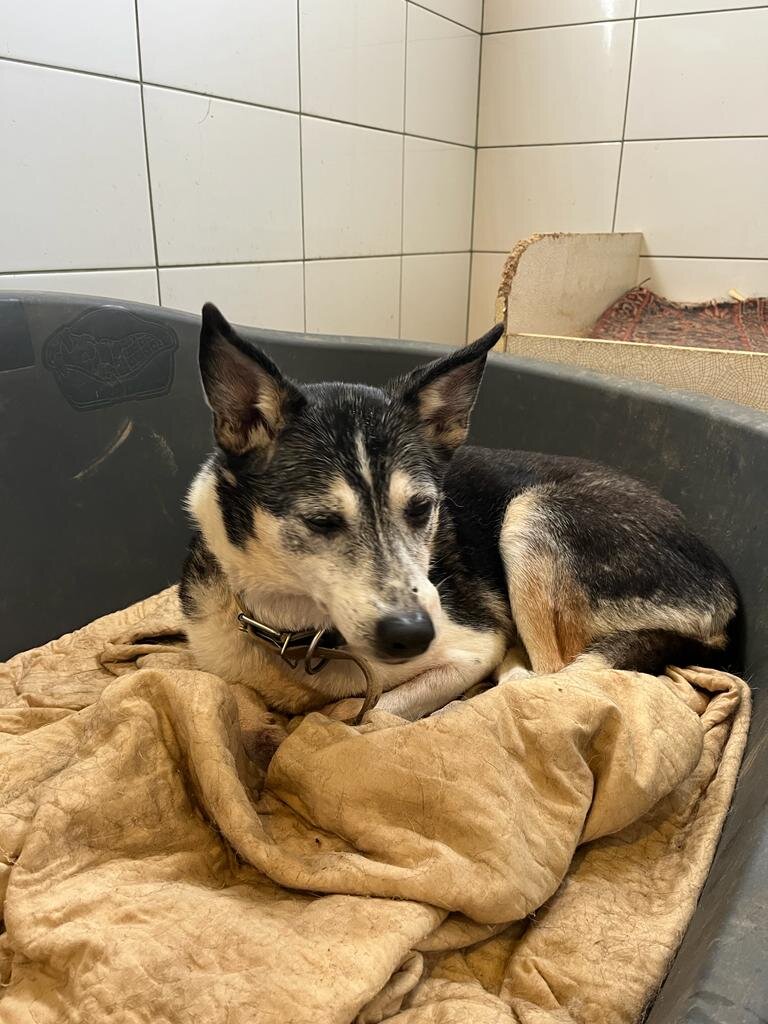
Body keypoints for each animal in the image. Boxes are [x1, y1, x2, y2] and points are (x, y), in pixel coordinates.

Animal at [180, 302, 737, 735]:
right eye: (321, 521)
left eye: (422, 509)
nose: (412, 635)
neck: (300, 631)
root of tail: (726, 598)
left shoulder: (472, 647)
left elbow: (364, 712)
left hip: (530, 517)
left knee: (552, 675)